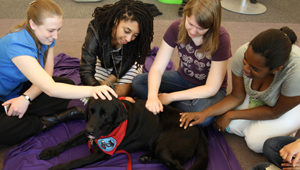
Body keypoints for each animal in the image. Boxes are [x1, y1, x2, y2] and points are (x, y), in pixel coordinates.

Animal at [38, 96, 209, 169]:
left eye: (105, 114)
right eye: (91, 111)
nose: (89, 130)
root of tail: (198, 129)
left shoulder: (103, 153)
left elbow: (76, 161)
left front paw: (57, 167)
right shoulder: (87, 134)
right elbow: (68, 141)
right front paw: (50, 151)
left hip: (165, 146)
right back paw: (147, 156)